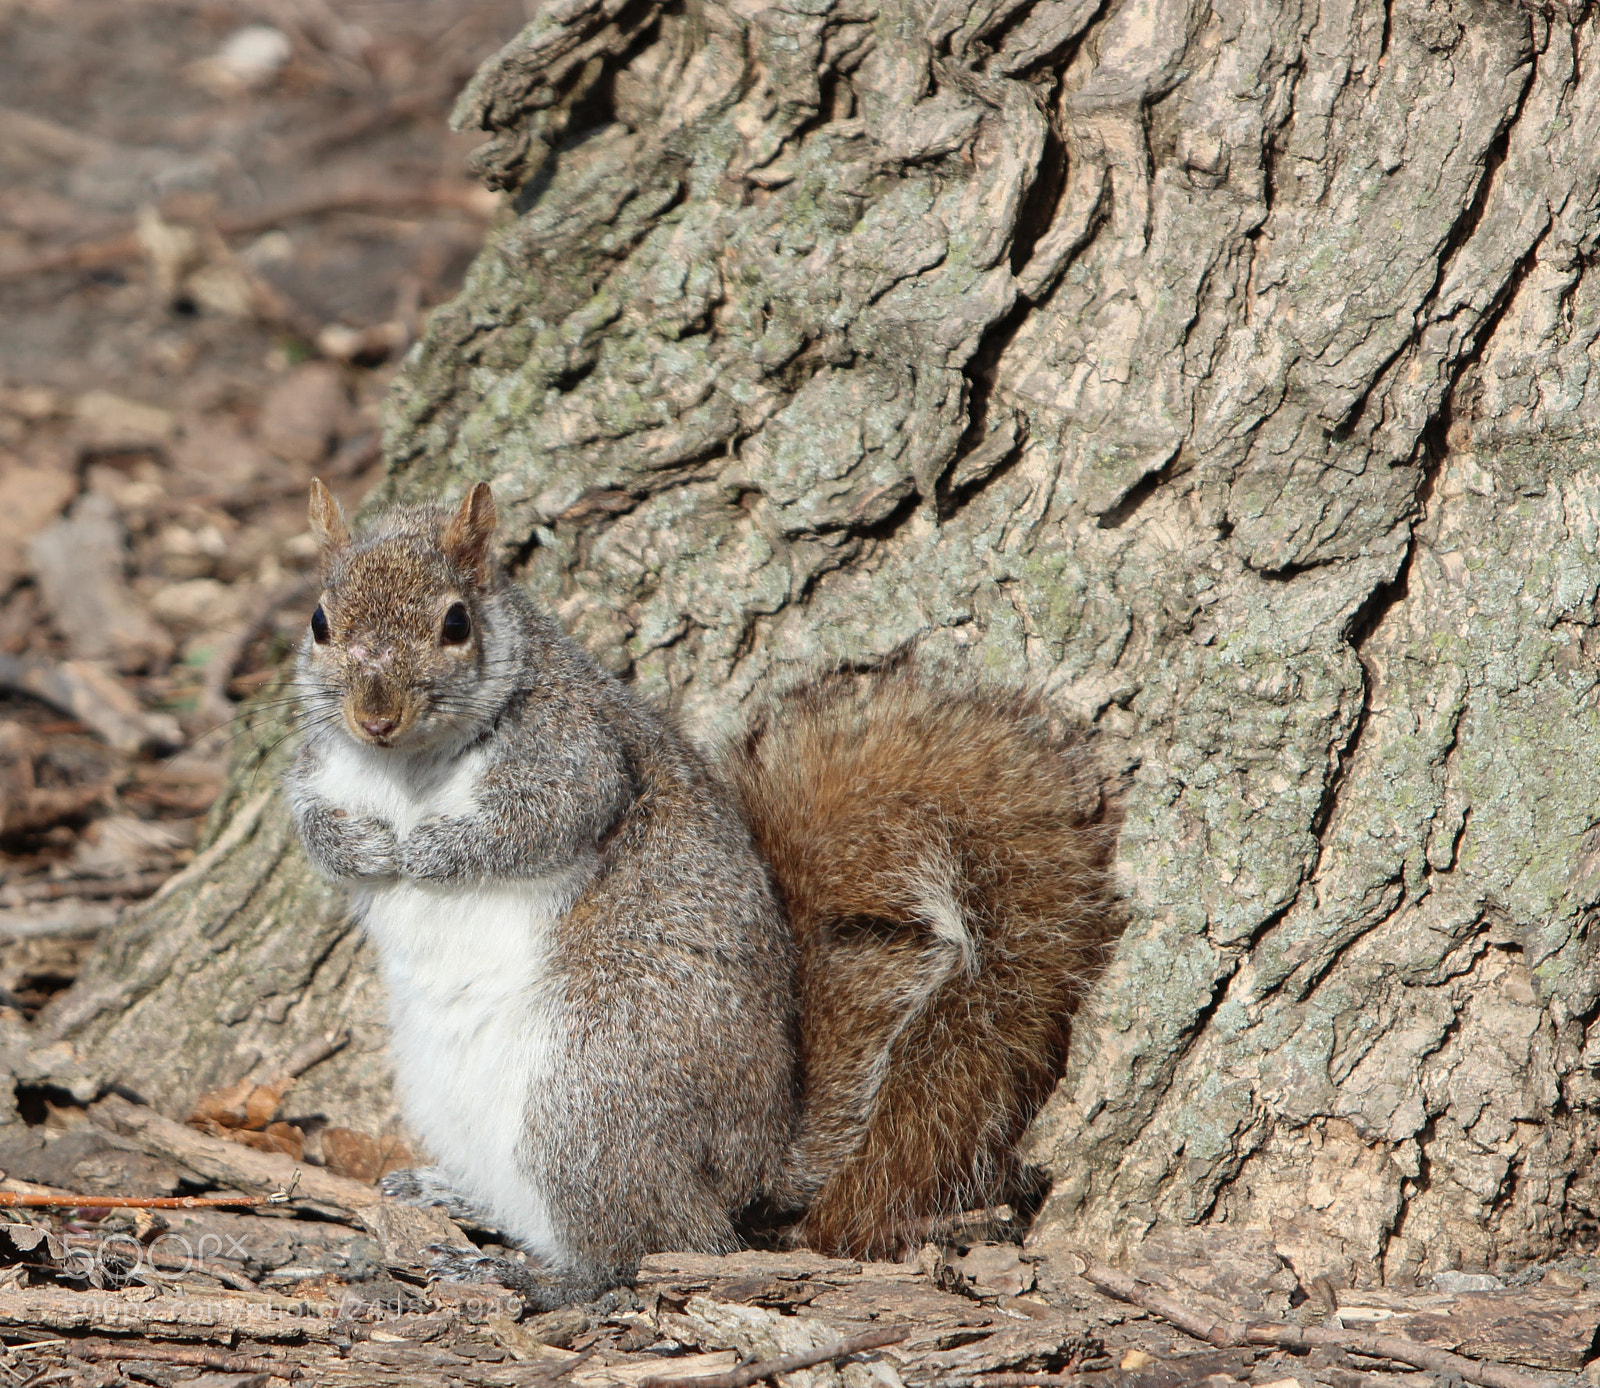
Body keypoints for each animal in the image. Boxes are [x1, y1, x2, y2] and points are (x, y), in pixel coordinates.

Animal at [285, 479, 1120, 1308]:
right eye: (321, 622)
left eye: (455, 623)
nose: (375, 716)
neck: (407, 769)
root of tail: (753, 1172)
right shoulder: (320, 769)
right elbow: (313, 830)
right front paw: (362, 847)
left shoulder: (577, 752)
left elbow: (539, 821)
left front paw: (425, 851)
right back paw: (448, 1196)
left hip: (589, 1107)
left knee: (638, 1246)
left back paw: (521, 1274)